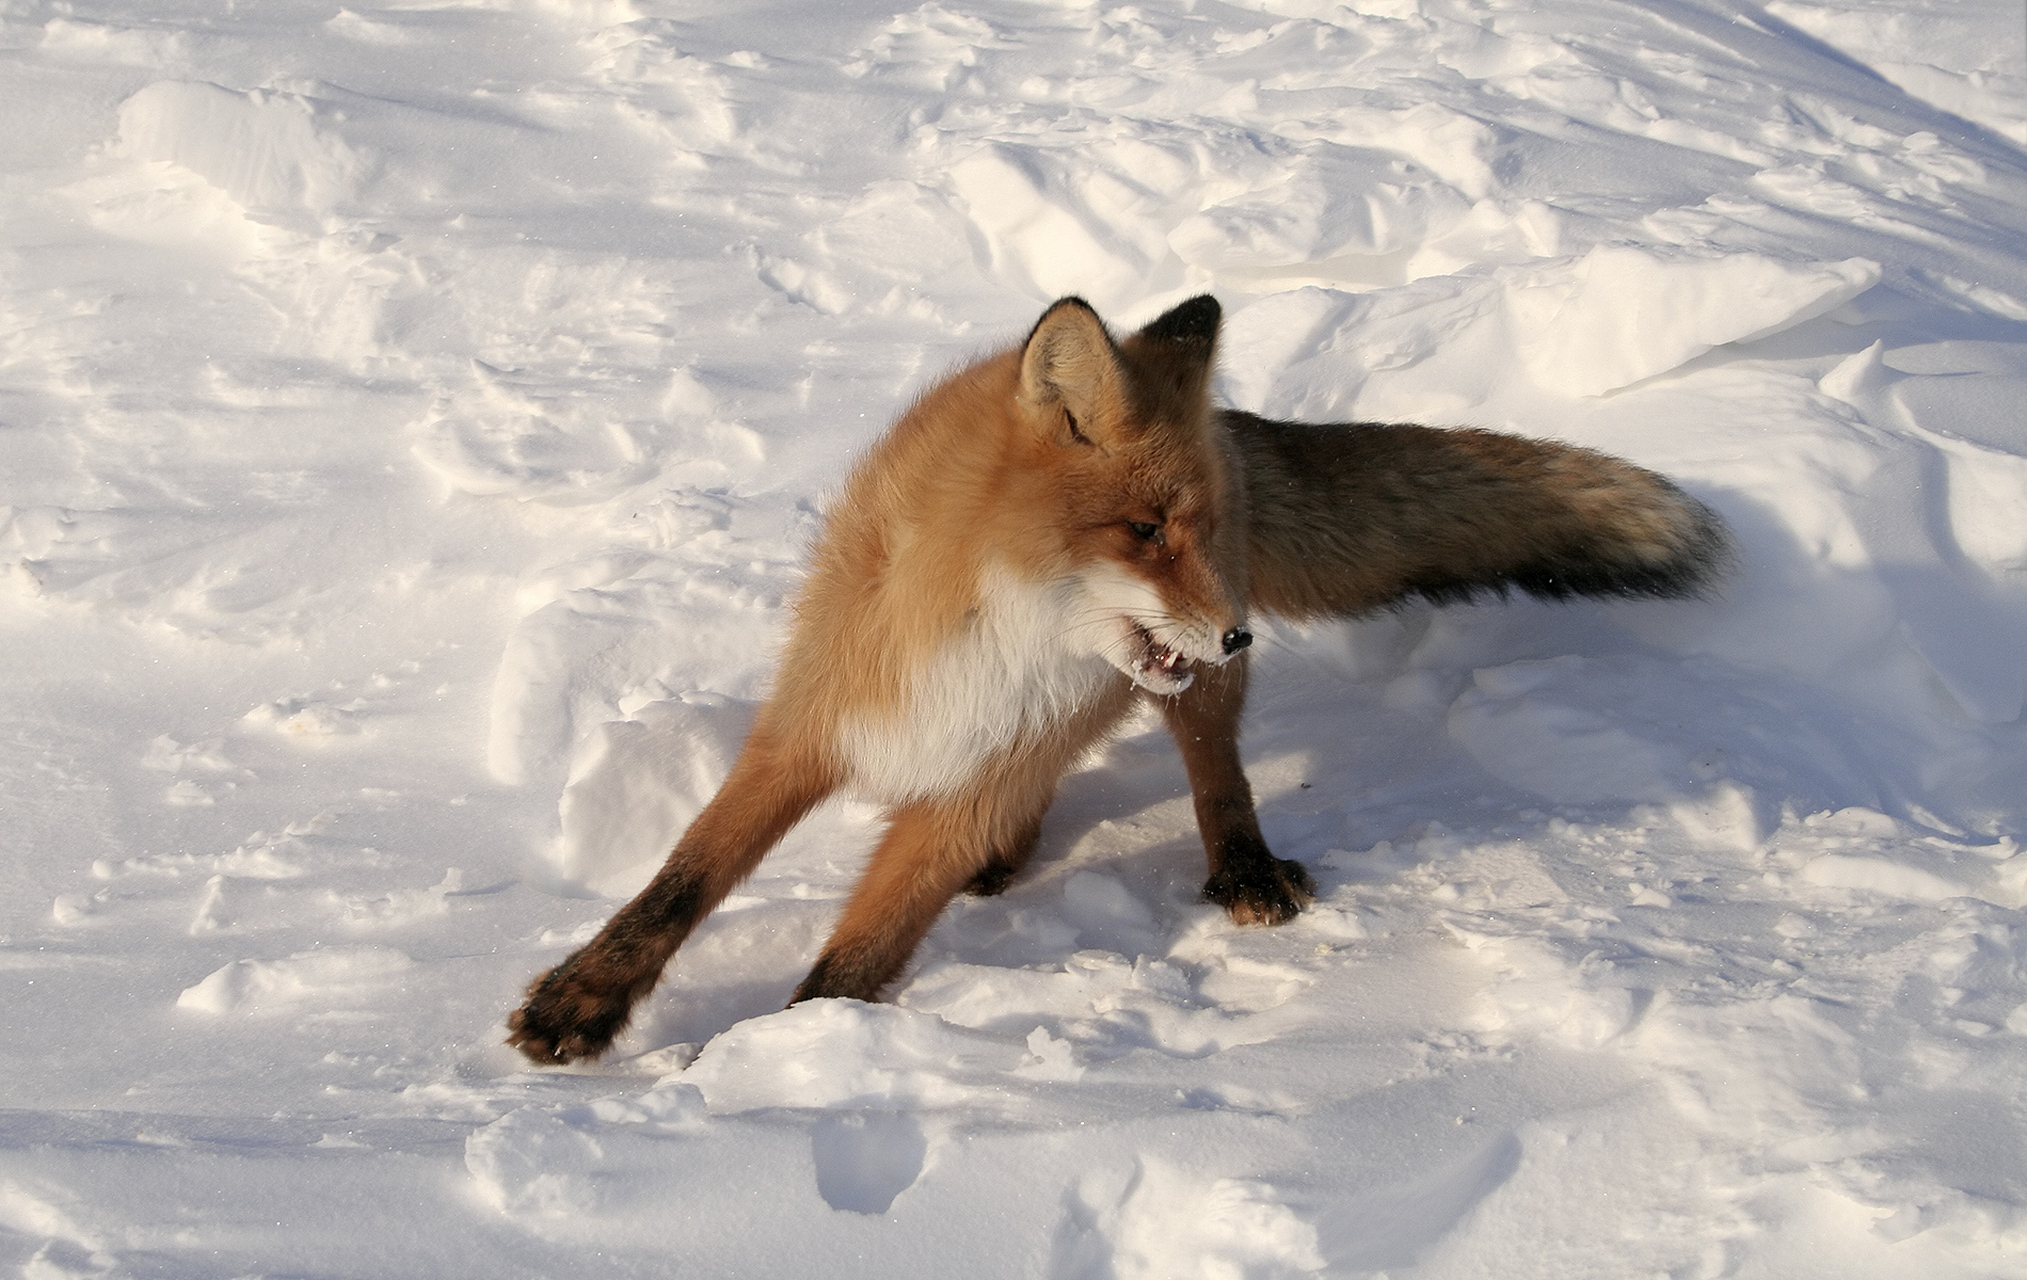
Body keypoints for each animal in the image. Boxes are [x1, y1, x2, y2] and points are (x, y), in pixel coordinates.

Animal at [506, 296, 1727, 1062]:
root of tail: (1222, 411)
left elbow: (857, 954)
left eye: (1189, 528)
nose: (1238, 636)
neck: (985, 637)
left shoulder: (969, 782)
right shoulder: (815, 722)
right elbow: (677, 883)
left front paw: (775, 1061)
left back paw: (1240, 865)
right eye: (1142, 529)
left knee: (1215, 770)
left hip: (1189, 703)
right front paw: (581, 999)